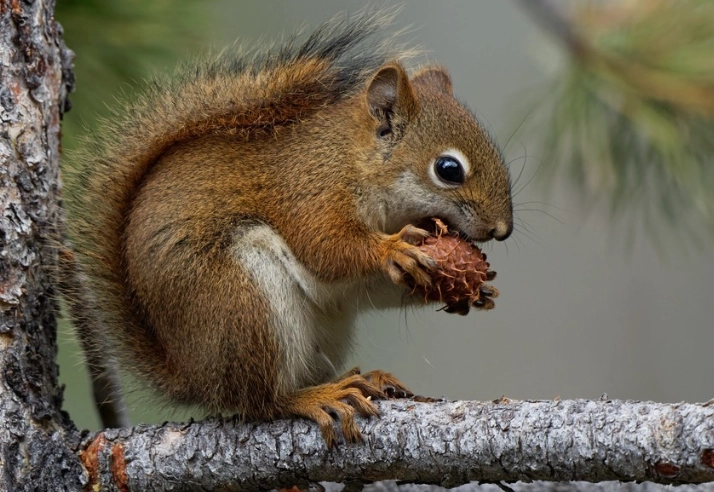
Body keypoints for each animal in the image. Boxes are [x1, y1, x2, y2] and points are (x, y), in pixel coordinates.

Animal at [61, 12, 513, 447]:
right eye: (448, 169)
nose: (502, 230)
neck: (353, 160)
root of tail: (193, 374)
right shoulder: (310, 195)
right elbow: (325, 247)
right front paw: (391, 250)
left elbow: (371, 286)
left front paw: (478, 290)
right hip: (241, 304)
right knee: (261, 401)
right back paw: (315, 397)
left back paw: (364, 380)